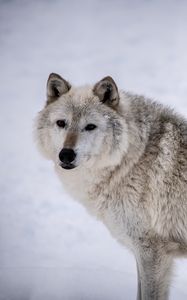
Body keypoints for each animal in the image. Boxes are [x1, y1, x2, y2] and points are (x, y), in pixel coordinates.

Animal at [35, 73, 187, 300]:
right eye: (61, 123)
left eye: (90, 126)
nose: (66, 155)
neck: (131, 159)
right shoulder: (142, 251)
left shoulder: (152, 252)